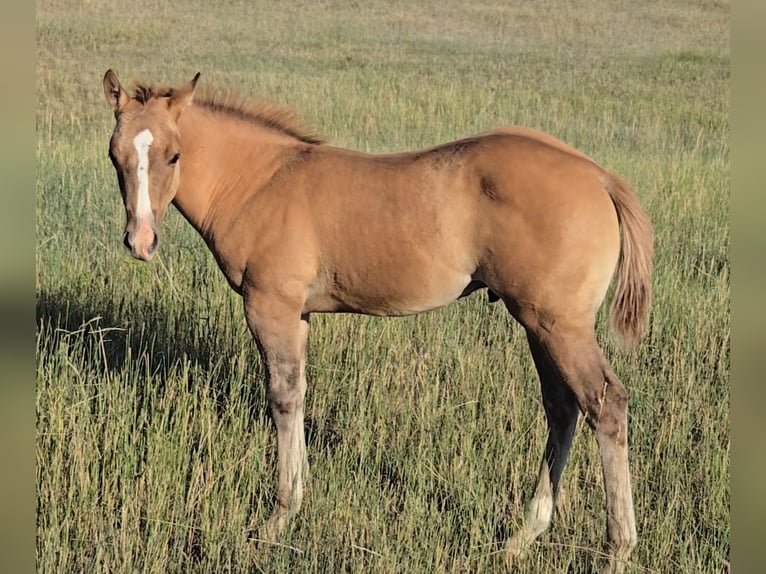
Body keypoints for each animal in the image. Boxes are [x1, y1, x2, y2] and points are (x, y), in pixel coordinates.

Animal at [102, 70, 652, 572]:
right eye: (115, 156)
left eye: (174, 155)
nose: (140, 241)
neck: (261, 181)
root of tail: (596, 175)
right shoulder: (300, 314)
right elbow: (299, 394)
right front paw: (299, 497)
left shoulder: (269, 307)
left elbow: (282, 398)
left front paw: (277, 518)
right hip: (540, 324)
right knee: (562, 407)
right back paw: (521, 535)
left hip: (559, 325)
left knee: (605, 404)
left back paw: (617, 549)